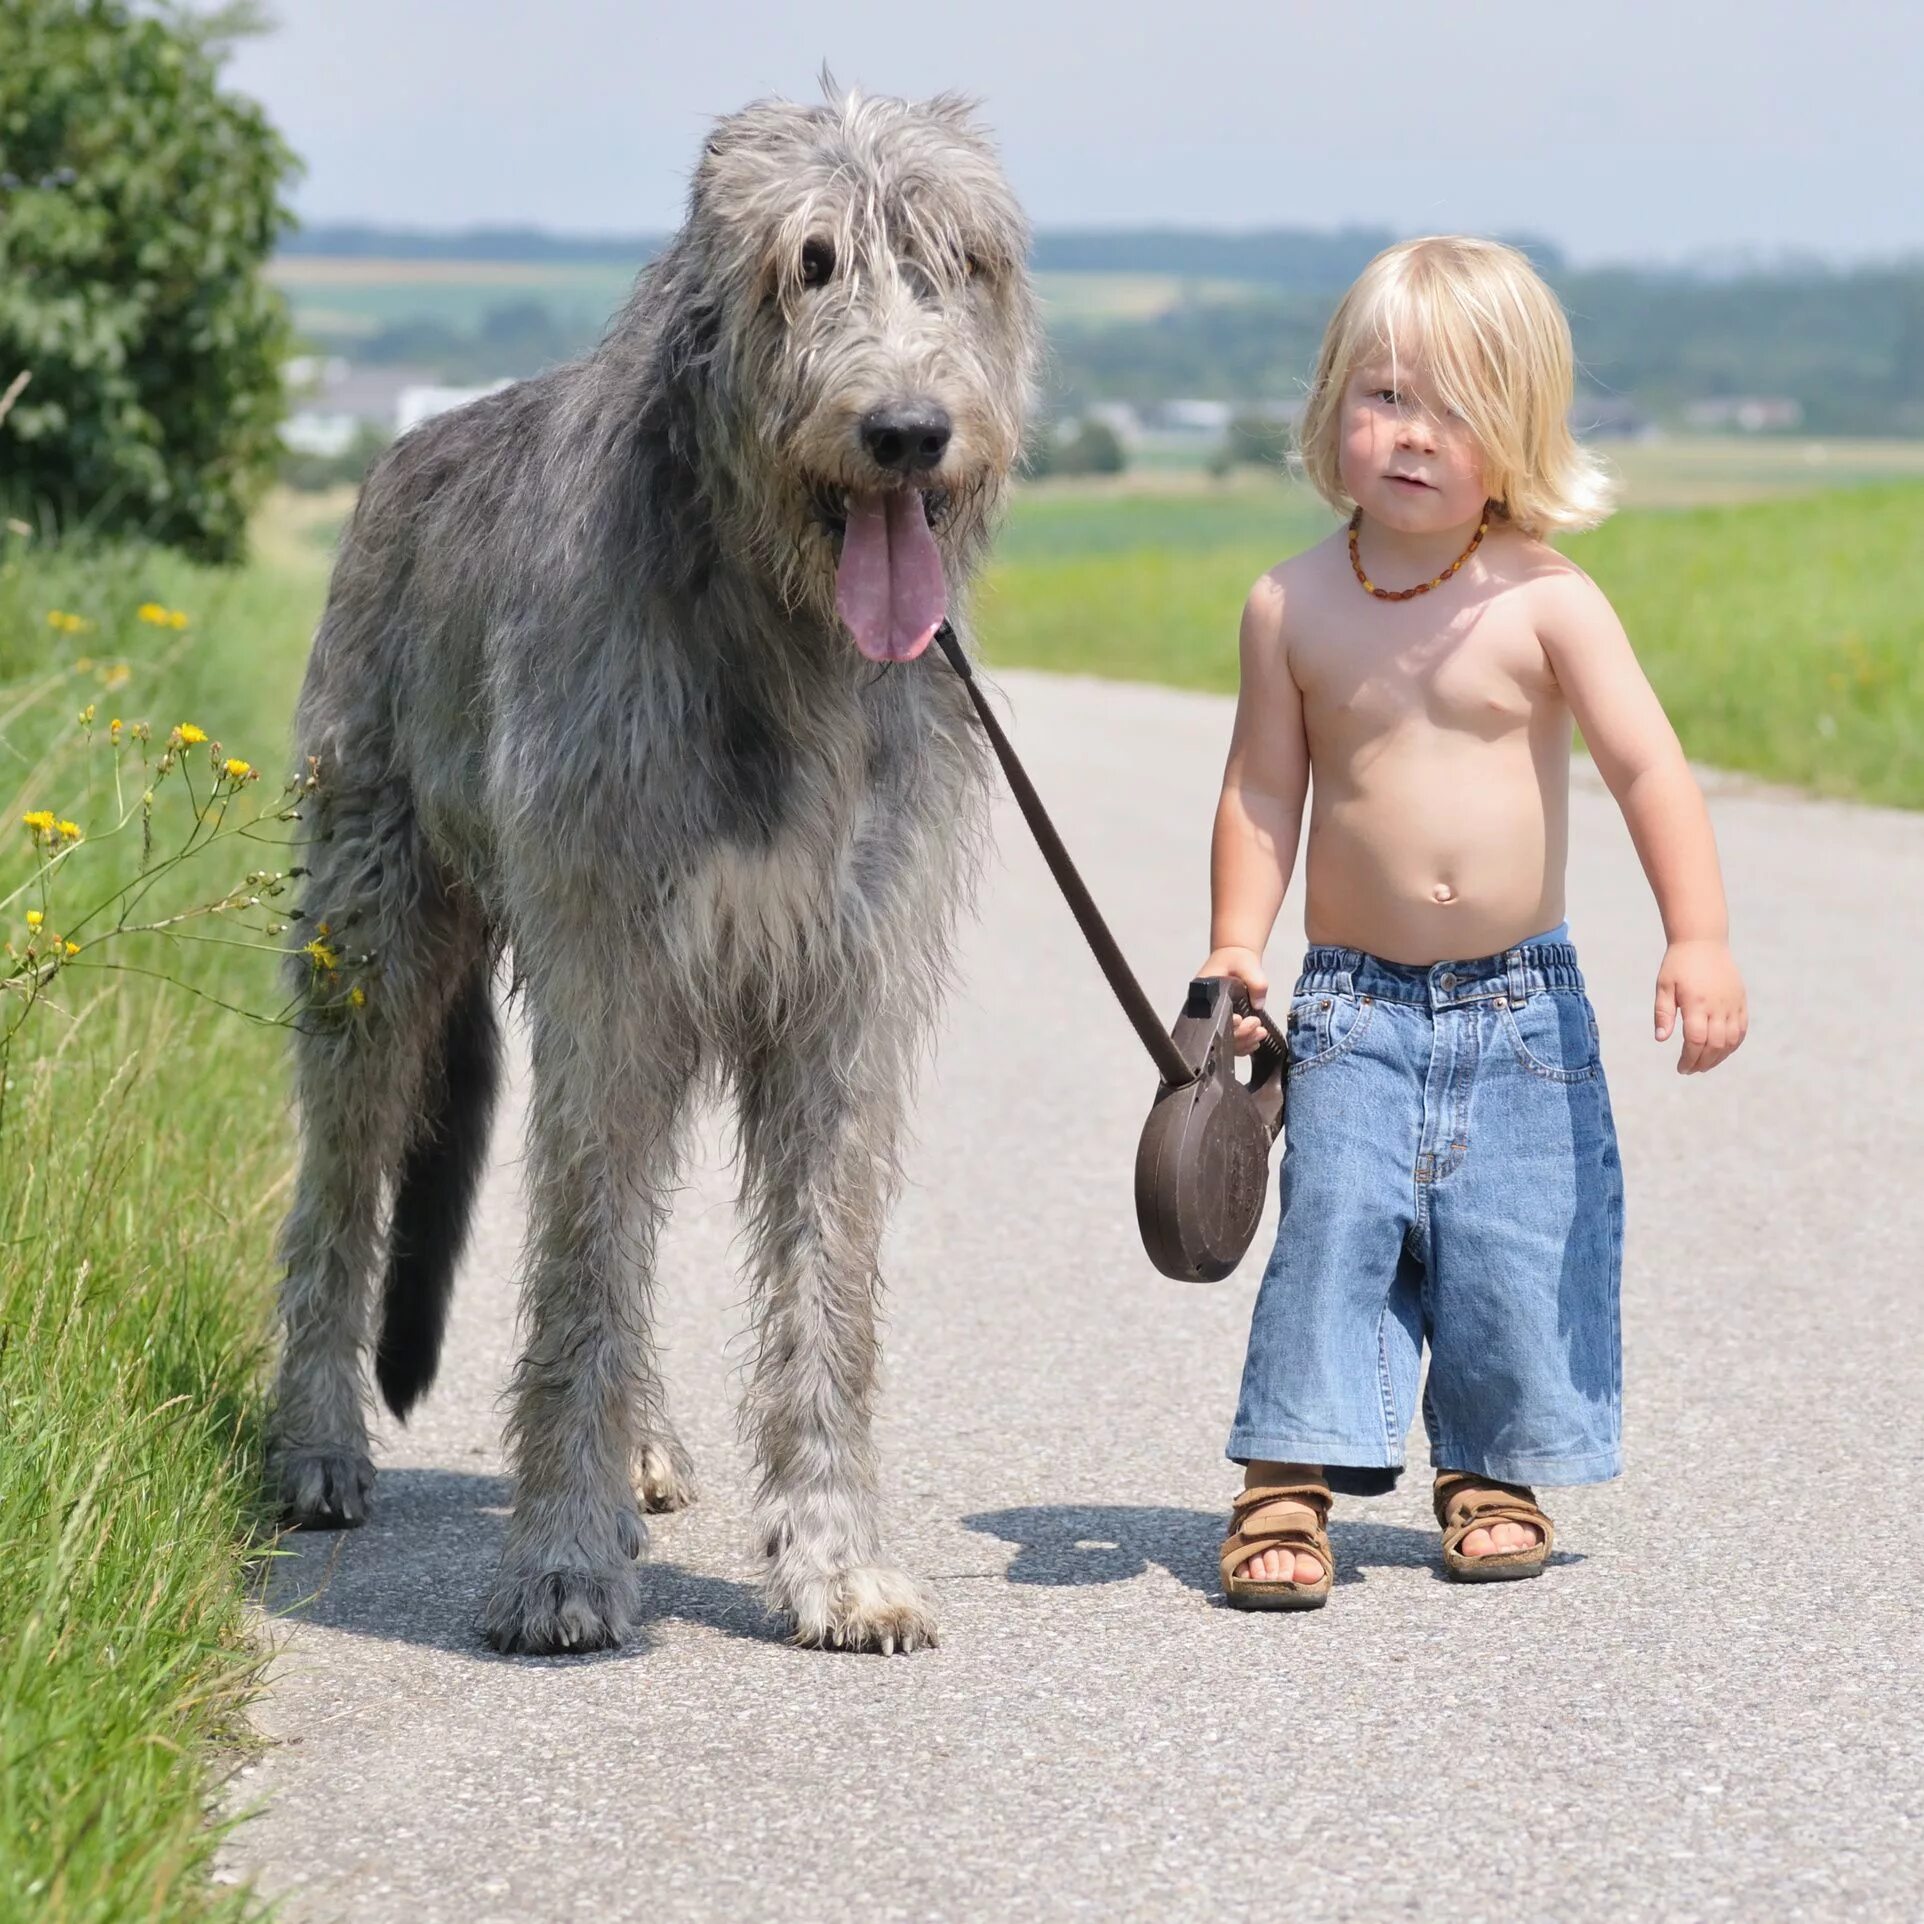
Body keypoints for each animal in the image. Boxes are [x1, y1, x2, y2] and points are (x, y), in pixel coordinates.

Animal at [271, 90, 1038, 1654]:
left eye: (959, 262)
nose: (908, 431)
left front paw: (837, 1562)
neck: (781, 629)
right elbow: (579, 1268)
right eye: (809, 263)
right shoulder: (613, 968)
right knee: (347, 1190)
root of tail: (404, 451)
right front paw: (561, 1561)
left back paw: (643, 1444)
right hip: (370, 941)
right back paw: (317, 1445)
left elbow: (824, 1284)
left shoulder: (840, 990)